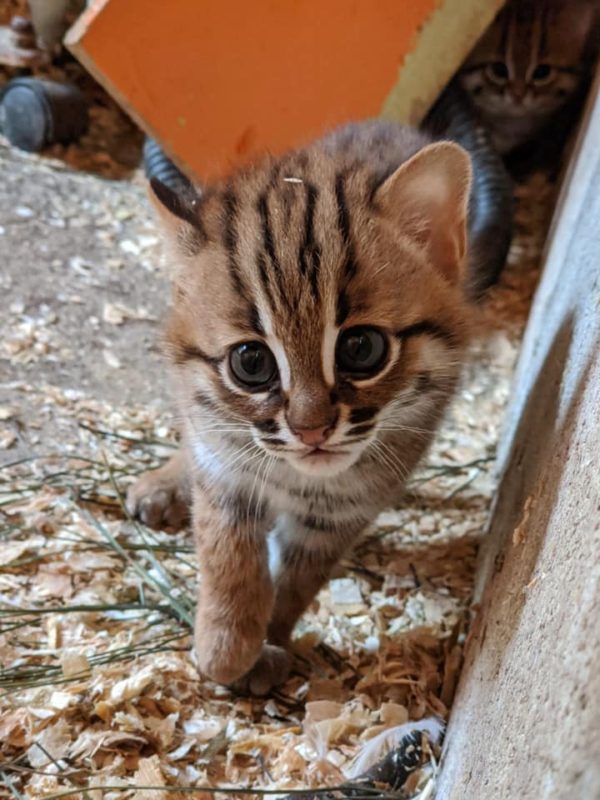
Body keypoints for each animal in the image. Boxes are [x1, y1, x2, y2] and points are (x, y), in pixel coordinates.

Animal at [127, 122, 482, 692]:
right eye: (251, 362)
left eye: (362, 348)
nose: (311, 429)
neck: (296, 478)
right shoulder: (227, 470)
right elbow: (226, 557)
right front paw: (225, 648)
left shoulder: (339, 513)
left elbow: (297, 582)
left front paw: (269, 643)